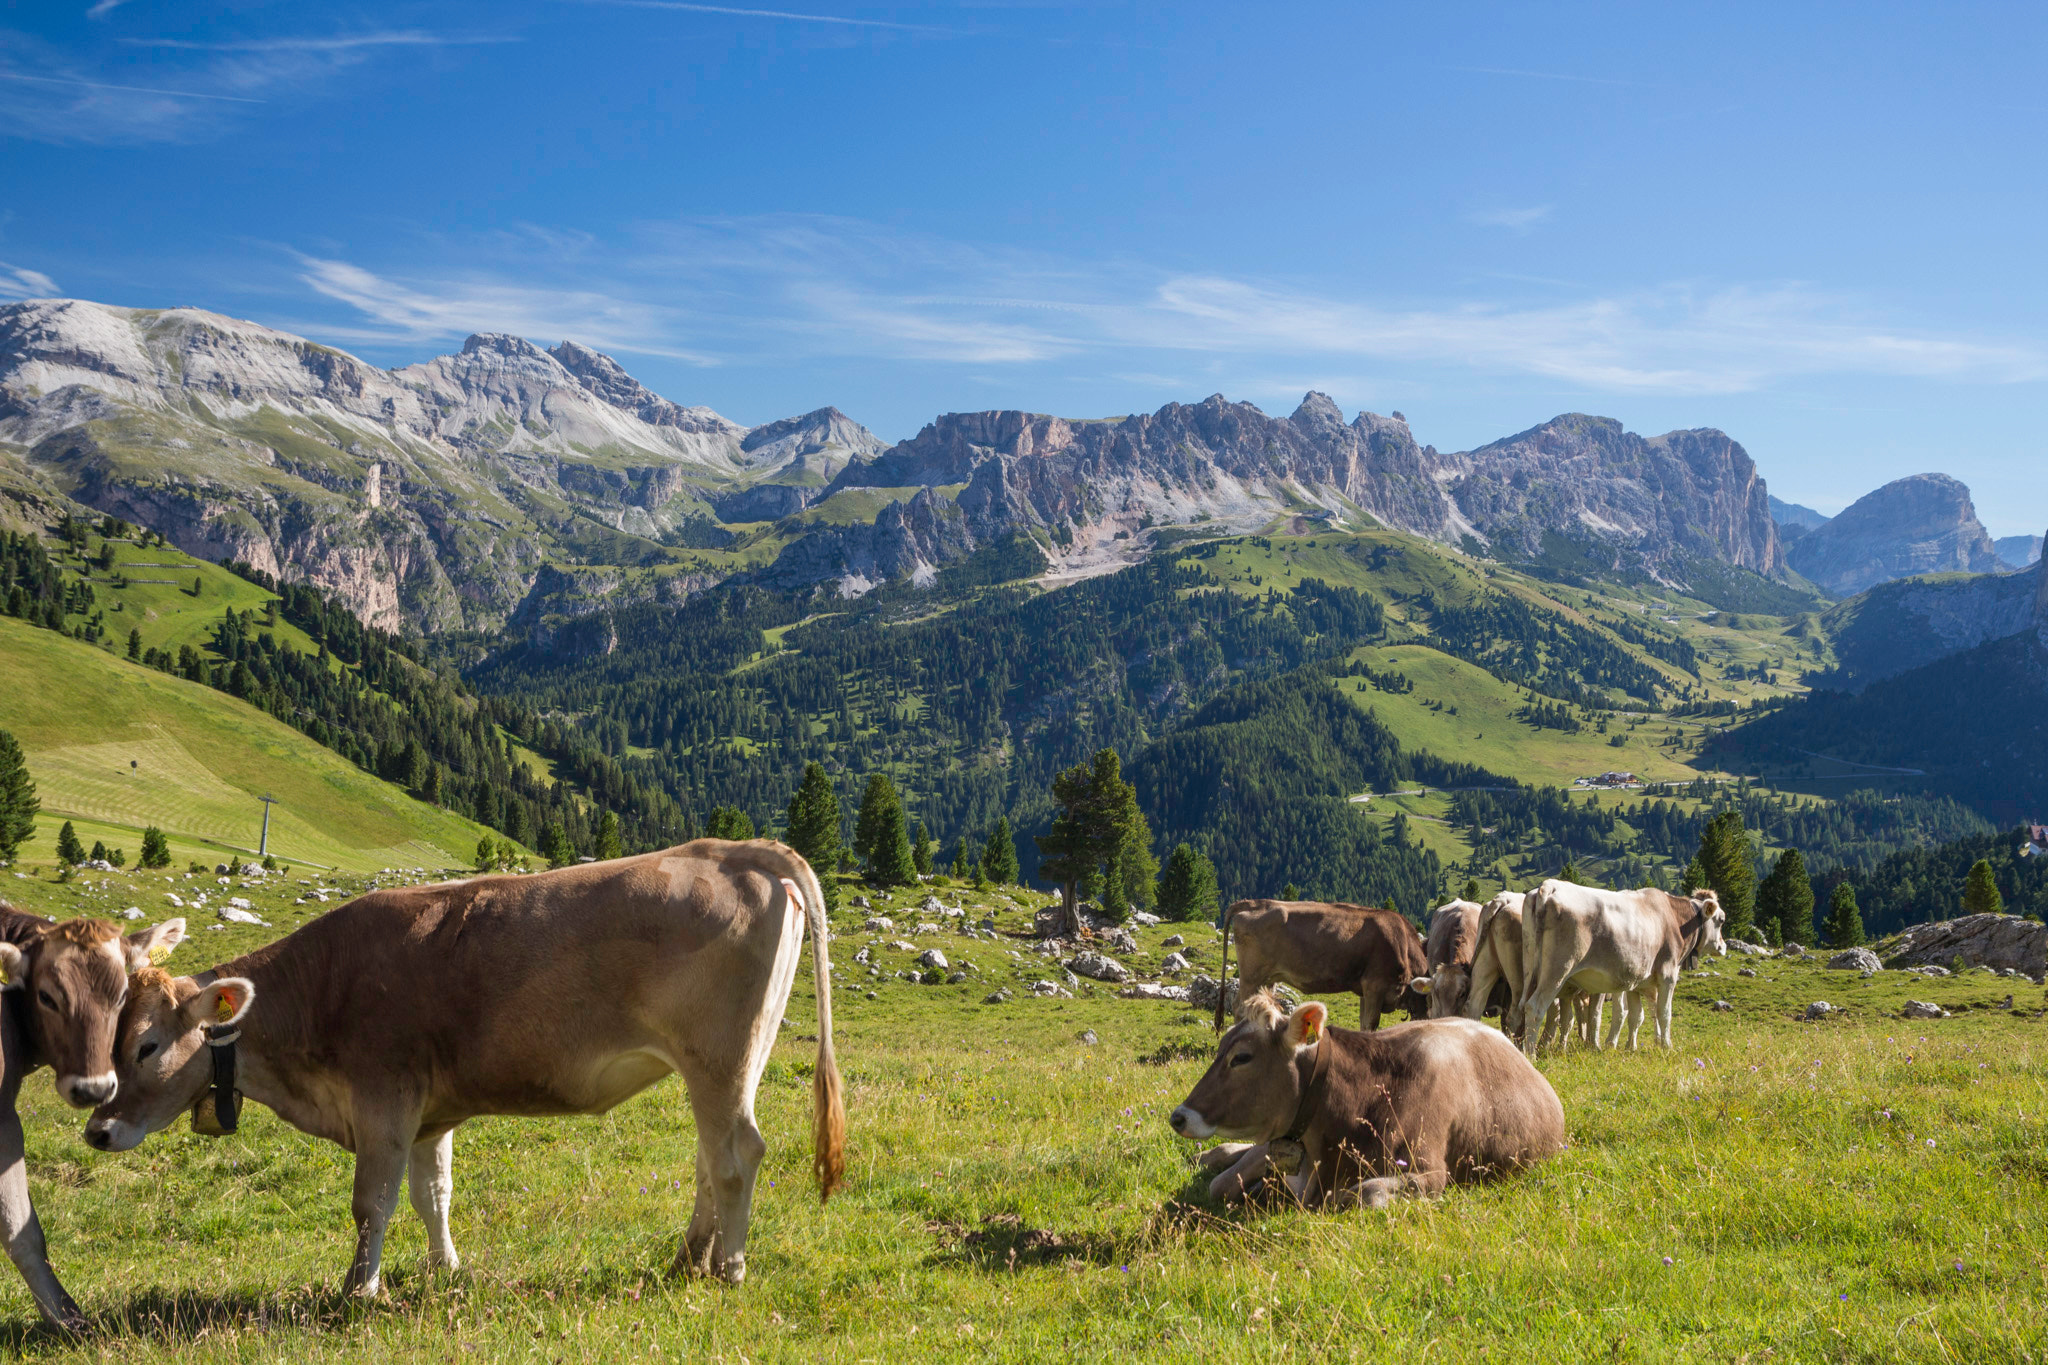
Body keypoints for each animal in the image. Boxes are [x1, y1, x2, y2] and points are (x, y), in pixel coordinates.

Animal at [85, 840, 843, 1296]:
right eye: (114, 1035)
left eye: (147, 1045)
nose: (96, 1128)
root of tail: (736, 850)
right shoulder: (428, 1110)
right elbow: (433, 1193)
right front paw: (445, 1266)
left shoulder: (384, 1096)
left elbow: (372, 1201)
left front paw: (358, 1289)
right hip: (729, 1062)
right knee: (710, 1156)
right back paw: (689, 1257)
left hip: (719, 1057)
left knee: (738, 1153)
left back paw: (730, 1269)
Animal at [1215, 899, 1427, 1032]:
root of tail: (1254, 902)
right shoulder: (1375, 985)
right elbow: (1371, 1024)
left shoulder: (1365, 990)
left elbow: (1363, 1023)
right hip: (1251, 976)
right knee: (1239, 1008)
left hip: (1267, 978)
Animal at [1520, 880, 1725, 1056]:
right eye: (1721, 920)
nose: (1723, 947)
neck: (1674, 920)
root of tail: (1550, 886)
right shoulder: (1668, 975)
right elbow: (1664, 1013)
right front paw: (1667, 1046)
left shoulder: (1636, 980)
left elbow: (1636, 1016)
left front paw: (1630, 1047)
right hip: (1558, 970)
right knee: (1535, 1007)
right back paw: (1531, 1055)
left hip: (1530, 970)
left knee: (1523, 1005)